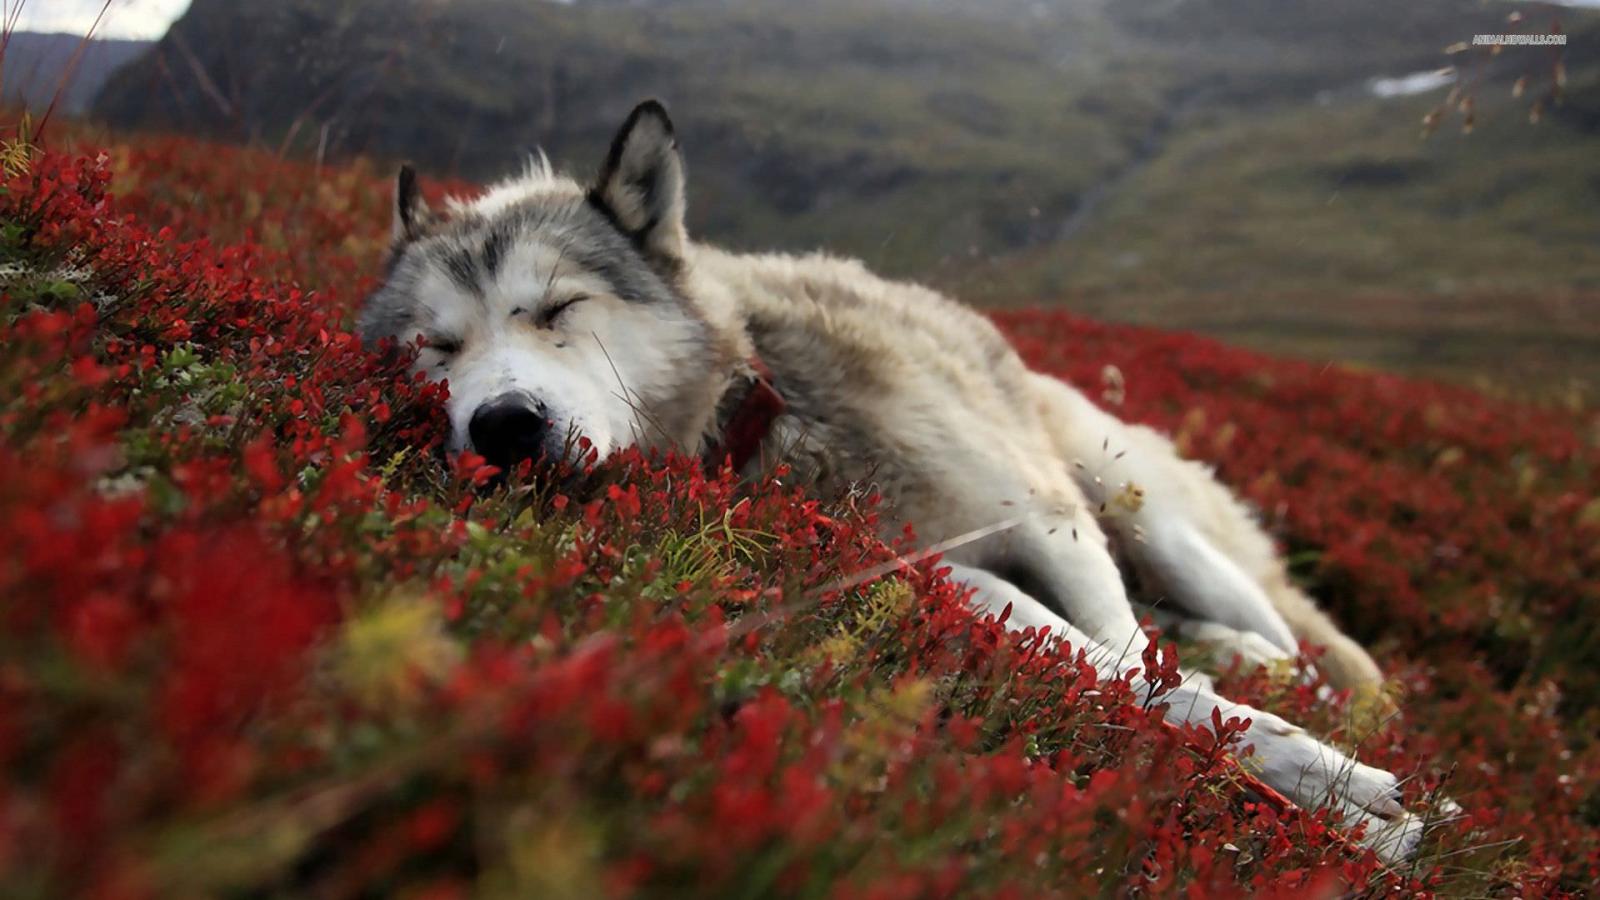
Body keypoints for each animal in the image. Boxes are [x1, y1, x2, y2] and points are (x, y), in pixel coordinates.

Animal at [360, 100, 1427, 861]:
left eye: (558, 309)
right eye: (436, 348)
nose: (503, 426)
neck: (773, 408)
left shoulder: (1050, 524)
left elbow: (1135, 664)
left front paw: (1342, 792)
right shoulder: (944, 575)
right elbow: (1126, 679)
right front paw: (1337, 805)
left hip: (1138, 509)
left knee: (1308, 646)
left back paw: (1294, 675)